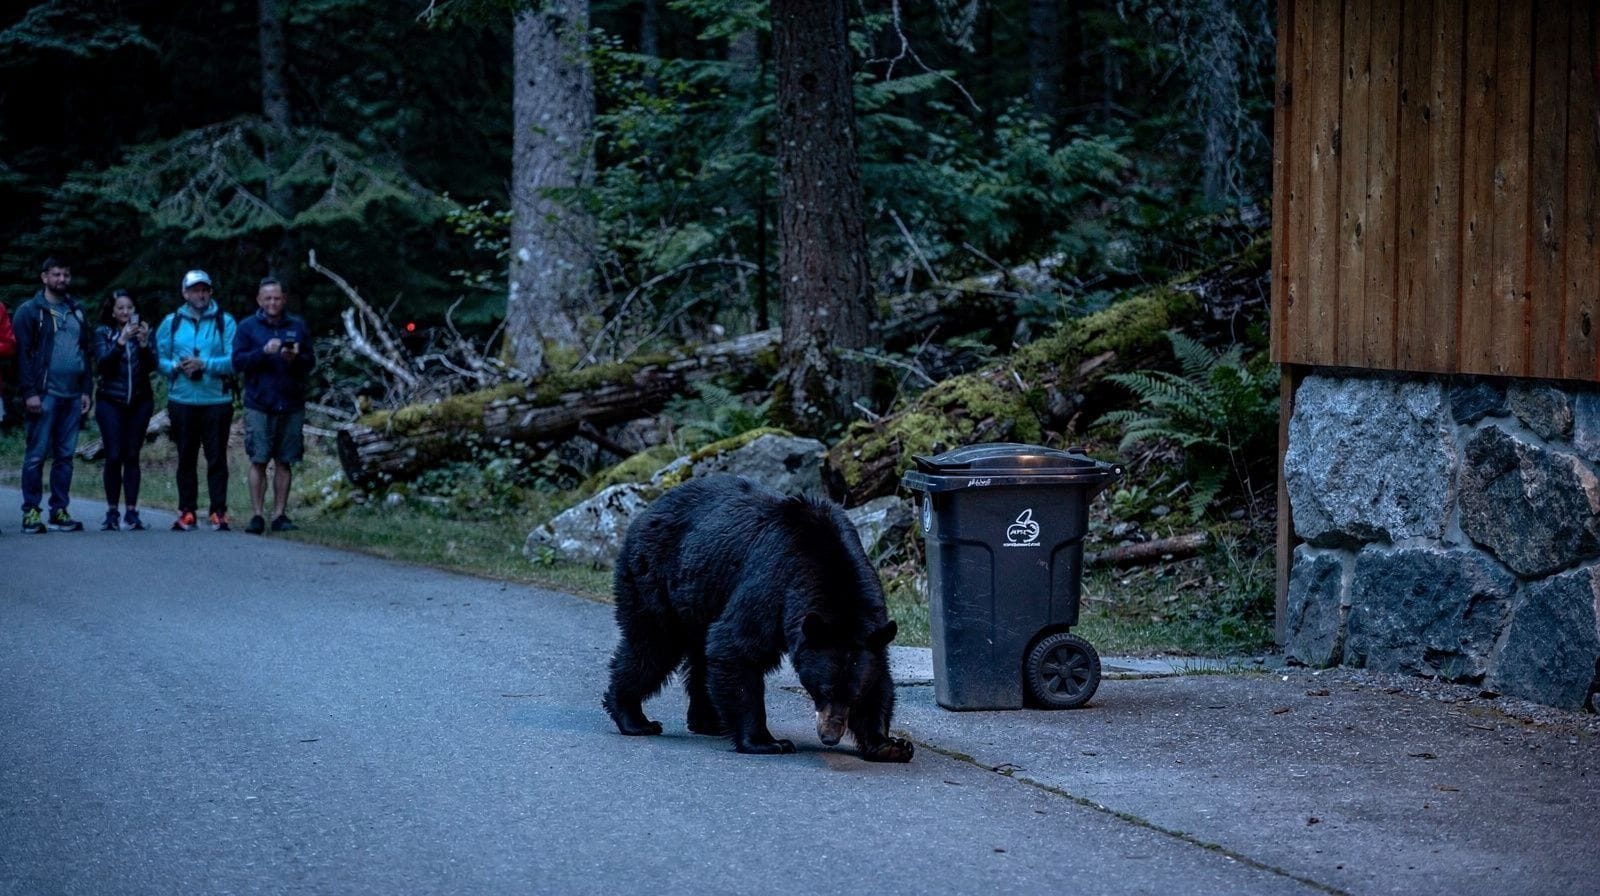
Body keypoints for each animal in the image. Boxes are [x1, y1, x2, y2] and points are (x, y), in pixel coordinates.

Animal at [602, 474, 914, 762]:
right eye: (823, 688)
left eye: (854, 695)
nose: (830, 736)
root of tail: (649, 510)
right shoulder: (773, 584)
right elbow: (736, 647)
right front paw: (767, 742)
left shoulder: (871, 624)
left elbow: (880, 678)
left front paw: (889, 744)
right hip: (653, 577)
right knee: (652, 646)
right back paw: (634, 718)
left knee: (698, 656)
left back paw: (708, 720)